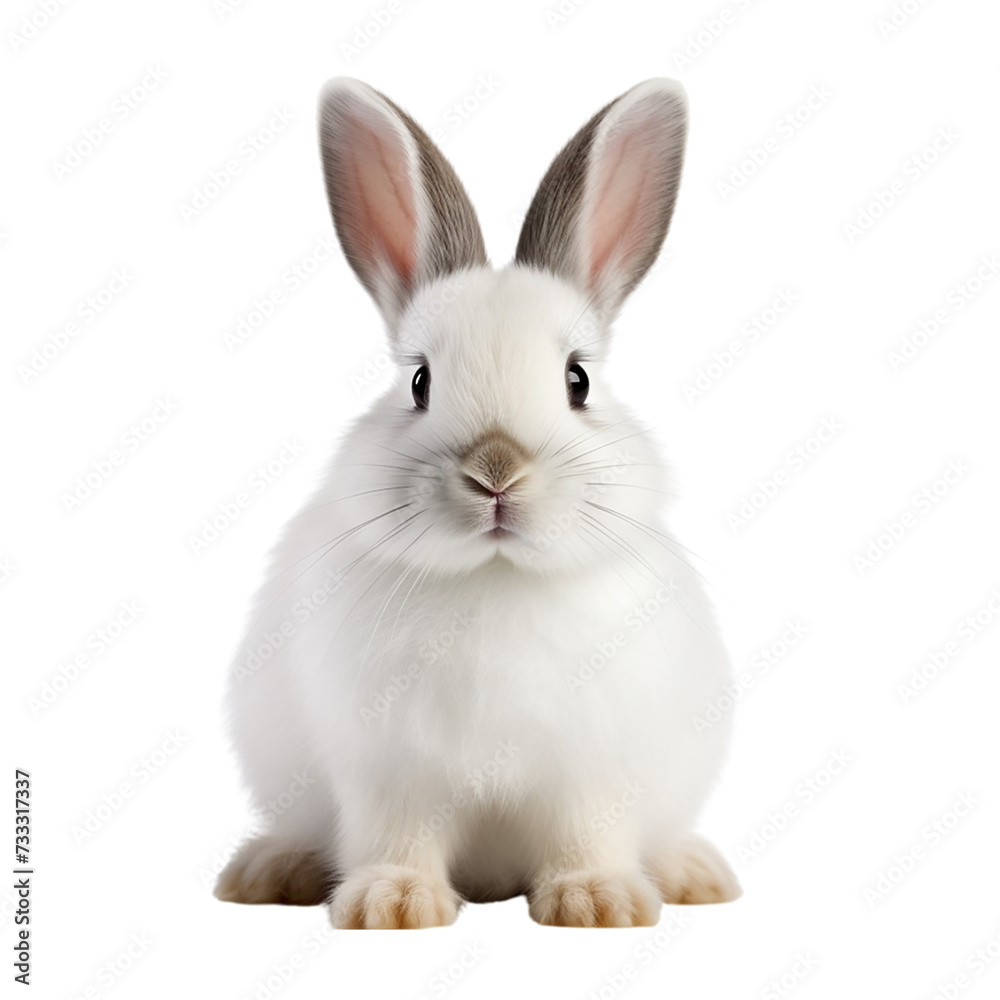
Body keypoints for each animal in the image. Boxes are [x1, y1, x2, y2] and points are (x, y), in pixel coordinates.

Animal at [214, 76, 741, 928]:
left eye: (577, 380)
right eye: (420, 381)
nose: (497, 472)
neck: (496, 579)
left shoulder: (589, 770)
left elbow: (585, 832)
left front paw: (597, 902)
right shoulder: (388, 770)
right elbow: (398, 834)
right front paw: (394, 904)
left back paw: (692, 875)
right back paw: (270, 872)